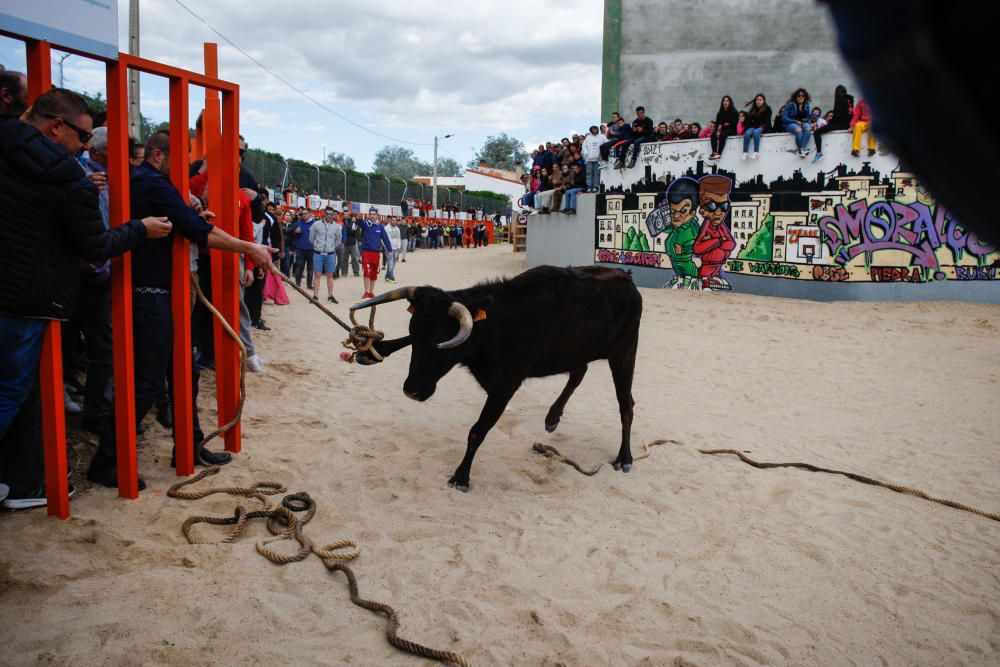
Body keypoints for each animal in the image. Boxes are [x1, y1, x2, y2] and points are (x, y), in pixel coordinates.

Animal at [352, 264, 640, 490]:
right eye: (414, 329)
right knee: (579, 372)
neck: (498, 325)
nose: (412, 390)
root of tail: (627, 280)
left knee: (626, 404)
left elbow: (477, 431)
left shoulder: (504, 388)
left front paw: (461, 476)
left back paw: (624, 457)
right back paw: (552, 417)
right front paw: (373, 349)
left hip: (624, 353)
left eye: (442, 340)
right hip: (578, 351)